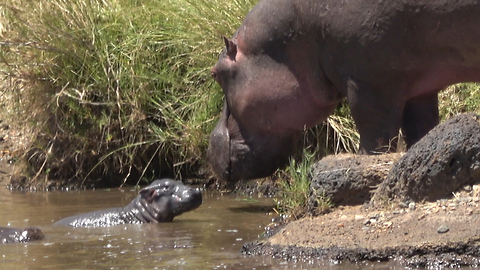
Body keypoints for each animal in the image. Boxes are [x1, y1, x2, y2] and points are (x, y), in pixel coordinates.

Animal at [208, 0, 480, 182]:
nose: (211, 142)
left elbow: (374, 135)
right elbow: (421, 129)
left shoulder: (369, 83)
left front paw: (363, 159)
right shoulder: (418, 88)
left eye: (216, 73)